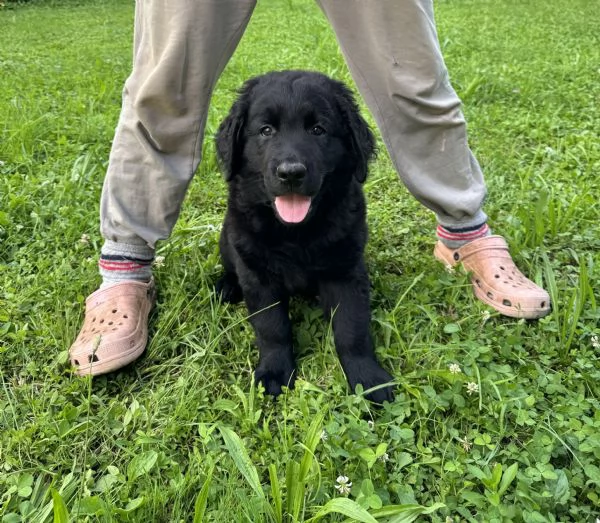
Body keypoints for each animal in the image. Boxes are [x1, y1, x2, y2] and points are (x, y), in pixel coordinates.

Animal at [216, 70, 394, 406]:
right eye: (266, 130)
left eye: (317, 129)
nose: (291, 173)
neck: (296, 232)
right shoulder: (257, 275)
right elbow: (272, 327)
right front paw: (274, 372)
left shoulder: (345, 272)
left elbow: (352, 327)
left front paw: (367, 378)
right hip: (228, 239)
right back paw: (225, 286)